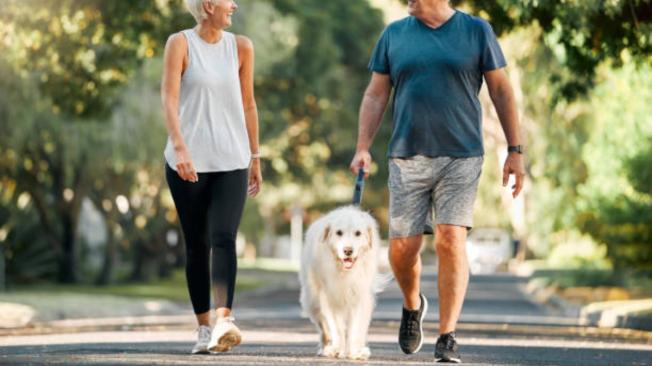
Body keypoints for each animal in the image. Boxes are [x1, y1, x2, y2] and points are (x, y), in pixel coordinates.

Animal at [300, 206, 382, 360]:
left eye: (358, 233)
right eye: (339, 232)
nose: (348, 250)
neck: (345, 272)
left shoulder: (359, 298)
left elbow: (356, 328)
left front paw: (355, 352)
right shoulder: (329, 298)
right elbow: (336, 328)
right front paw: (337, 350)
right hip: (312, 301)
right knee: (324, 328)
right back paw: (327, 348)